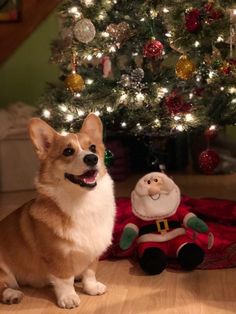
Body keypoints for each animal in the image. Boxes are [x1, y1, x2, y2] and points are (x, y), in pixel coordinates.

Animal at [0, 113, 116, 310]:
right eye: (68, 151)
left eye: (92, 147)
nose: (92, 158)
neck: (82, 201)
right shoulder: (57, 256)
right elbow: (64, 280)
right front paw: (68, 298)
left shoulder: (93, 251)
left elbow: (90, 272)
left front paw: (91, 288)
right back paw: (11, 295)